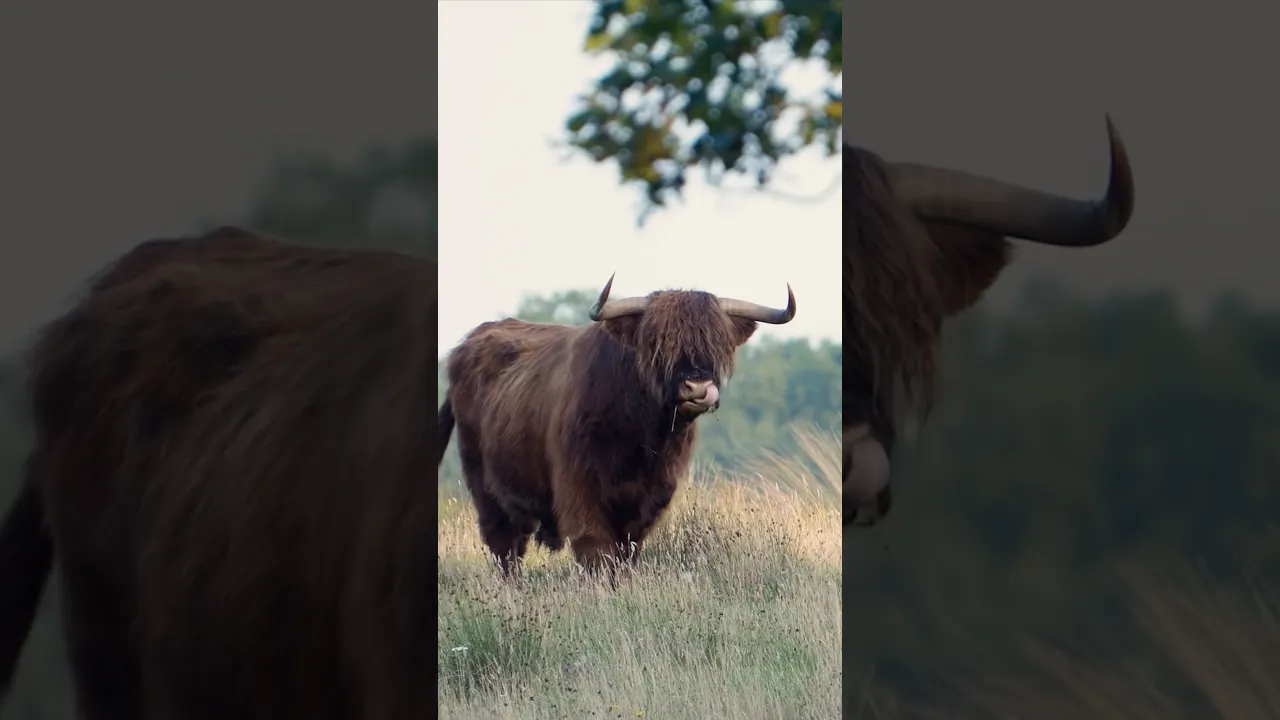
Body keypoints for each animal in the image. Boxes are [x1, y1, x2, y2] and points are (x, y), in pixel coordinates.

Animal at [437, 274, 796, 575]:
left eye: (718, 342)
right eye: (656, 342)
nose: (696, 387)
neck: (641, 439)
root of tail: (466, 344)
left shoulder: (651, 499)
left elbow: (627, 551)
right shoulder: (578, 489)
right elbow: (596, 550)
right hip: (484, 485)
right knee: (504, 544)